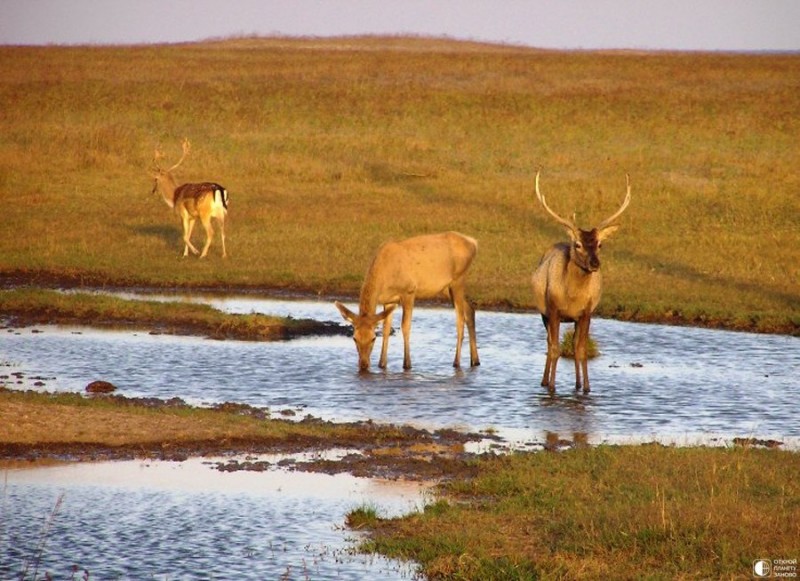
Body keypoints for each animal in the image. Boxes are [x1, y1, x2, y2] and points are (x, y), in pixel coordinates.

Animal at [332, 231, 478, 372]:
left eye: (373, 338)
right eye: (354, 338)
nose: (363, 365)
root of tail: (473, 243)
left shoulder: (409, 291)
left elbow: (405, 326)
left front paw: (407, 364)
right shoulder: (389, 300)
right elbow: (386, 329)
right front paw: (382, 364)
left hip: (458, 280)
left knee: (460, 319)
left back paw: (456, 362)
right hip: (446, 288)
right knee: (469, 309)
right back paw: (475, 360)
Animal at [532, 170, 632, 392]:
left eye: (600, 244)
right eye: (577, 244)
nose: (595, 263)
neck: (572, 298)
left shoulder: (586, 312)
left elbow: (581, 350)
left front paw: (585, 388)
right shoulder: (553, 309)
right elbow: (555, 349)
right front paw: (552, 388)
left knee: (573, 344)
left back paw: (576, 383)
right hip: (543, 313)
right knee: (548, 343)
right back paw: (544, 381)